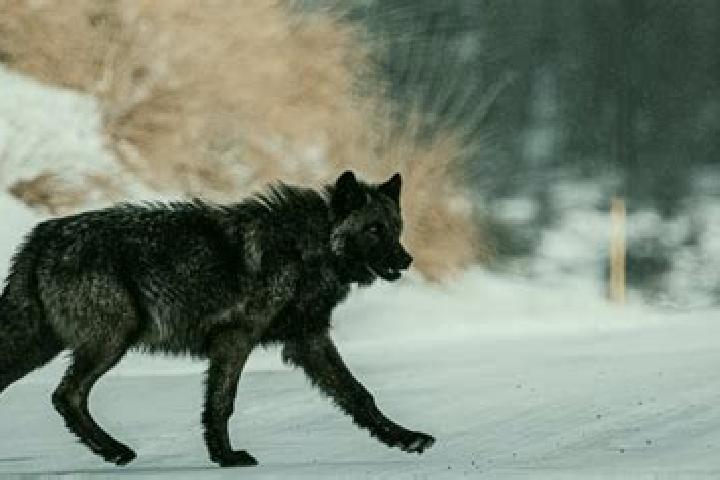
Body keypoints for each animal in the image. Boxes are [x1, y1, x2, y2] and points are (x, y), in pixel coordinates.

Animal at [0, 170, 434, 467]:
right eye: (374, 229)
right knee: (67, 395)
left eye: (396, 228)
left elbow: (359, 394)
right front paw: (226, 457)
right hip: (110, 342)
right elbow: (222, 403)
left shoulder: (308, 341)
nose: (407, 259)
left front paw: (404, 438)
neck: (304, 250)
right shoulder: (236, 339)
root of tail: (42, 236)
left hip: (41, 346)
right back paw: (115, 451)